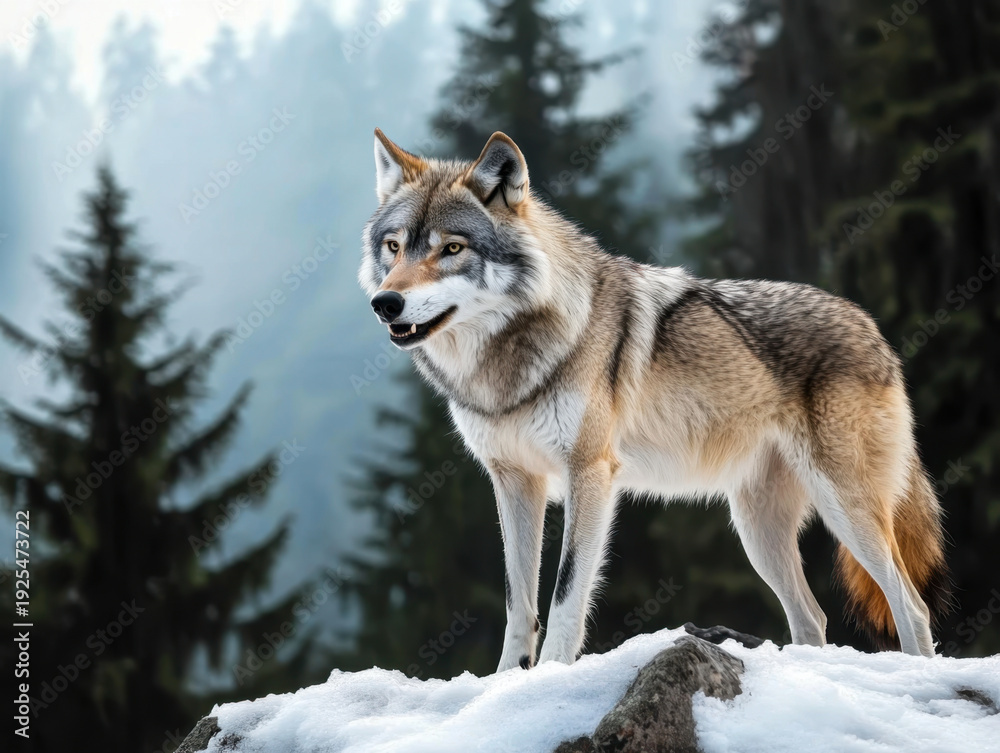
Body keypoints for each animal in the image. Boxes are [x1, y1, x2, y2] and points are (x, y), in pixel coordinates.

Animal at [359, 128, 950, 670]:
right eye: (395, 247)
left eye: (451, 248)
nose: (385, 303)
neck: (509, 363)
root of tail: (873, 328)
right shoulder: (513, 480)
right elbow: (518, 602)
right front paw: (507, 683)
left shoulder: (589, 472)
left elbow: (566, 593)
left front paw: (550, 677)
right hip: (757, 530)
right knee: (814, 617)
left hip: (844, 508)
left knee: (910, 605)